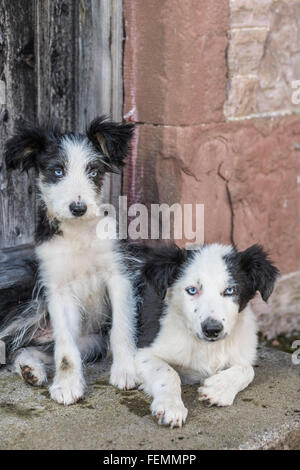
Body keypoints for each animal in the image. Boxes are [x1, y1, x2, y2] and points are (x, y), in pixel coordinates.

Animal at [0, 116, 141, 404]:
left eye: (93, 171)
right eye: (57, 171)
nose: (78, 208)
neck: (78, 234)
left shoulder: (119, 275)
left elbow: (121, 328)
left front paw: (125, 371)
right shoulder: (58, 289)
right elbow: (65, 351)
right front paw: (67, 385)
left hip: (89, 342)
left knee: (23, 348)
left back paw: (31, 369)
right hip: (29, 304)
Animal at [136, 244, 278, 428]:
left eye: (230, 290)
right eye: (192, 290)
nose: (212, 329)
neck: (208, 346)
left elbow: (248, 369)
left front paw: (218, 389)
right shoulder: (143, 352)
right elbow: (168, 372)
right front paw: (170, 406)